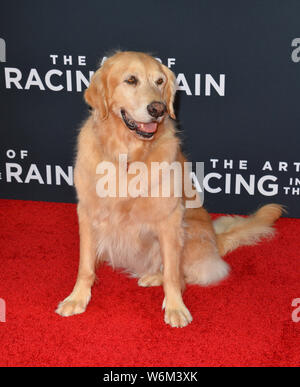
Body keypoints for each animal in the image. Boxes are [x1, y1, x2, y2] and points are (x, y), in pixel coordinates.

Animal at [55, 52, 282, 328]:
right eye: (131, 80)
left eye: (160, 81)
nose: (158, 109)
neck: (128, 155)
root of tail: (216, 241)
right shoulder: (87, 212)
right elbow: (85, 265)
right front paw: (77, 297)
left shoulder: (169, 220)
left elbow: (173, 274)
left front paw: (175, 307)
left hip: (189, 229)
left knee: (183, 274)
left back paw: (155, 277)